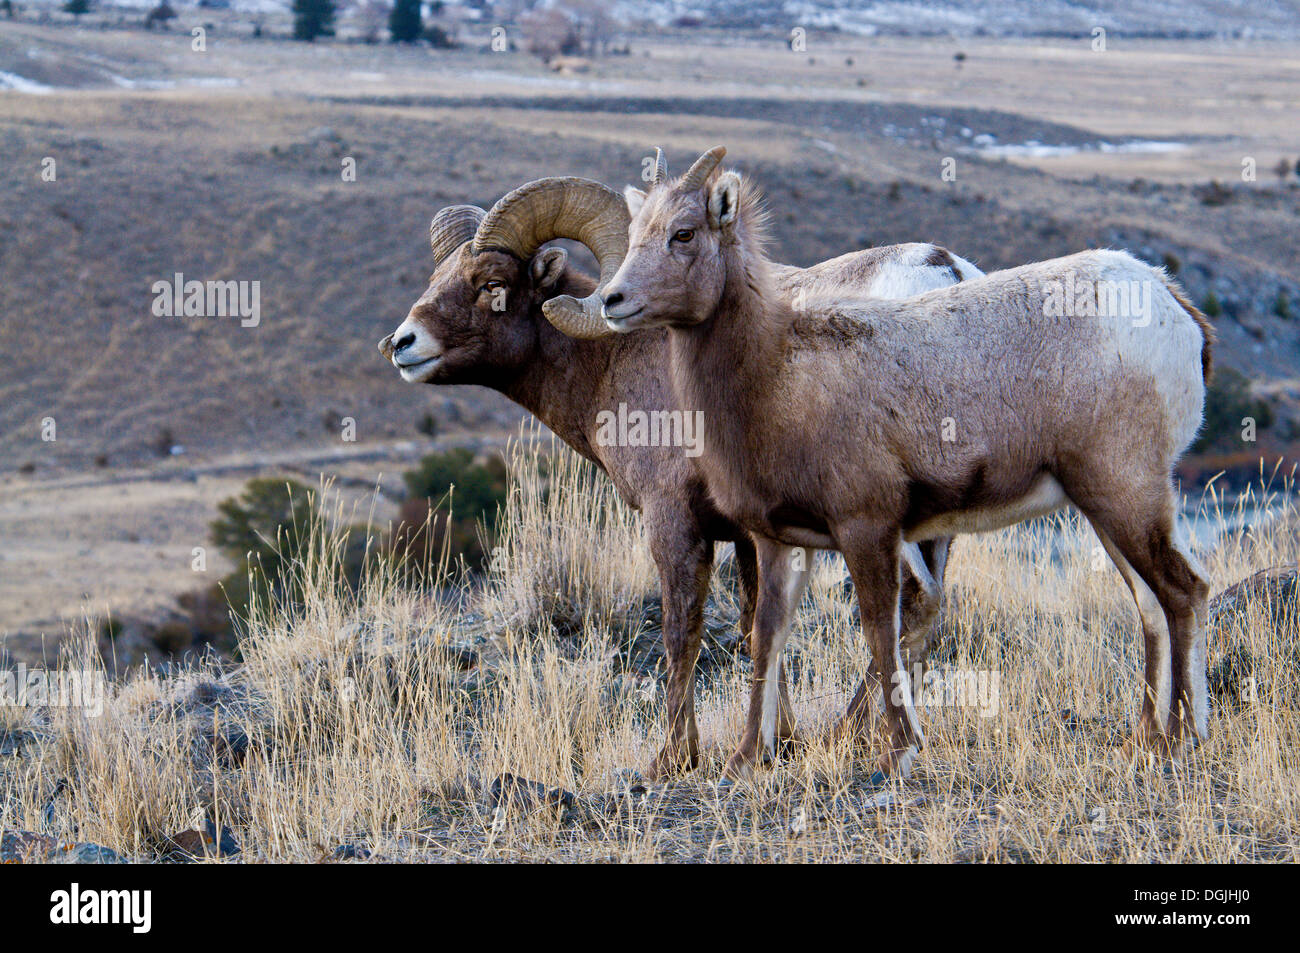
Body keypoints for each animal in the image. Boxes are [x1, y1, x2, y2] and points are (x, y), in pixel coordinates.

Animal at [378, 173, 980, 777]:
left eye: (491, 284)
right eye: (437, 279)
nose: (402, 344)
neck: (610, 361)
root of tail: (943, 270)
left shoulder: (673, 518)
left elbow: (681, 630)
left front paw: (673, 757)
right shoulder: (752, 534)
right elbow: (759, 621)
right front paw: (778, 742)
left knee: (909, 598)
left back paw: (852, 735)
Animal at [538, 146, 1215, 784]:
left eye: (683, 234)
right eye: (637, 234)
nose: (614, 300)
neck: (775, 377)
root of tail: (1171, 303)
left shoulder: (866, 529)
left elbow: (878, 631)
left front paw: (899, 753)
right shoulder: (779, 542)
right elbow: (766, 637)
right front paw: (744, 761)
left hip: (1125, 493)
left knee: (1184, 592)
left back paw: (1181, 741)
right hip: (1105, 508)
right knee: (1151, 605)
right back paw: (1144, 740)